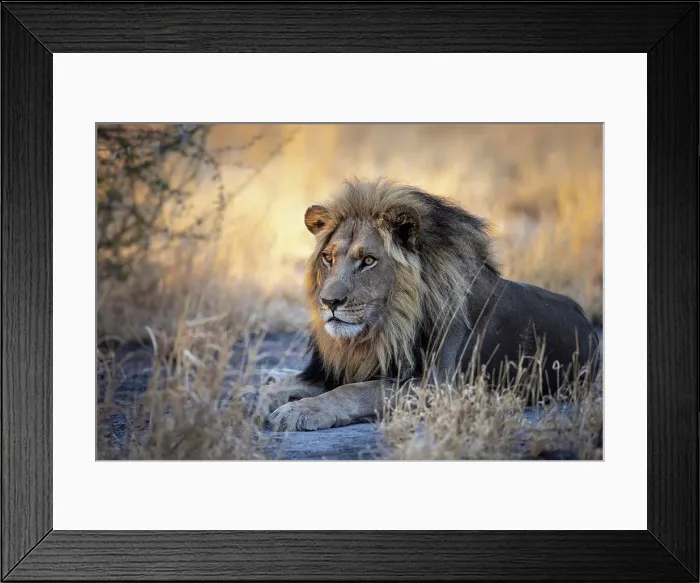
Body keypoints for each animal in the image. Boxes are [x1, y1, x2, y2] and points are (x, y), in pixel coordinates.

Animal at [251, 178, 600, 432]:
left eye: (368, 260)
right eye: (327, 257)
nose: (329, 301)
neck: (384, 328)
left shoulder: (440, 387)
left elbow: (359, 390)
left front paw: (300, 410)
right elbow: (286, 385)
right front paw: (259, 397)